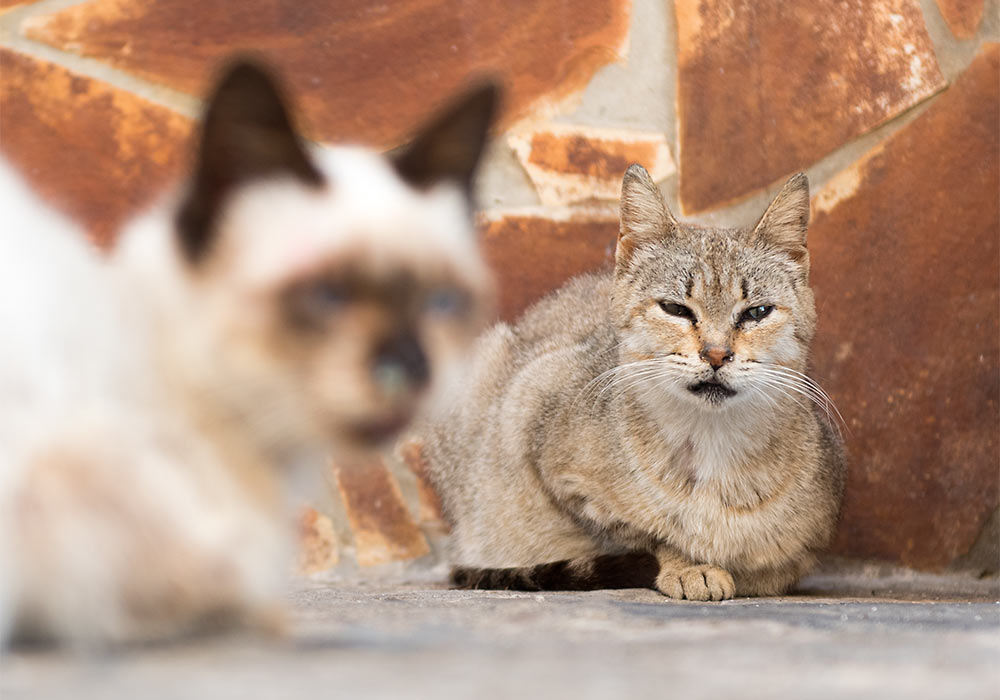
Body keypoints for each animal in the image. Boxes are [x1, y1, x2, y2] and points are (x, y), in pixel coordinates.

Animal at [420, 165, 844, 600]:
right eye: (675, 308)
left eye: (756, 312)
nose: (716, 354)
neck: (710, 443)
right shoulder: (539, 430)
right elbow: (646, 535)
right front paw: (687, 566)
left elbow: (773, 565)